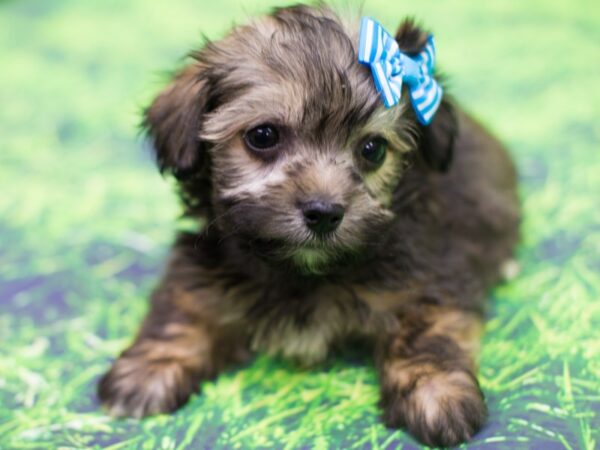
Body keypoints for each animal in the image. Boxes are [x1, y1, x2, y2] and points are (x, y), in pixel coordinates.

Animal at [98, 3, 520, 446]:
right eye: (263, 135)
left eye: (373, 149)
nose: (324, 212)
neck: (304, 273)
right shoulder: (202, 269)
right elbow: (182, 312)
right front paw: (147, 370)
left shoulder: (429, 276)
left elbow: (426, 334)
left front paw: (438, 395)